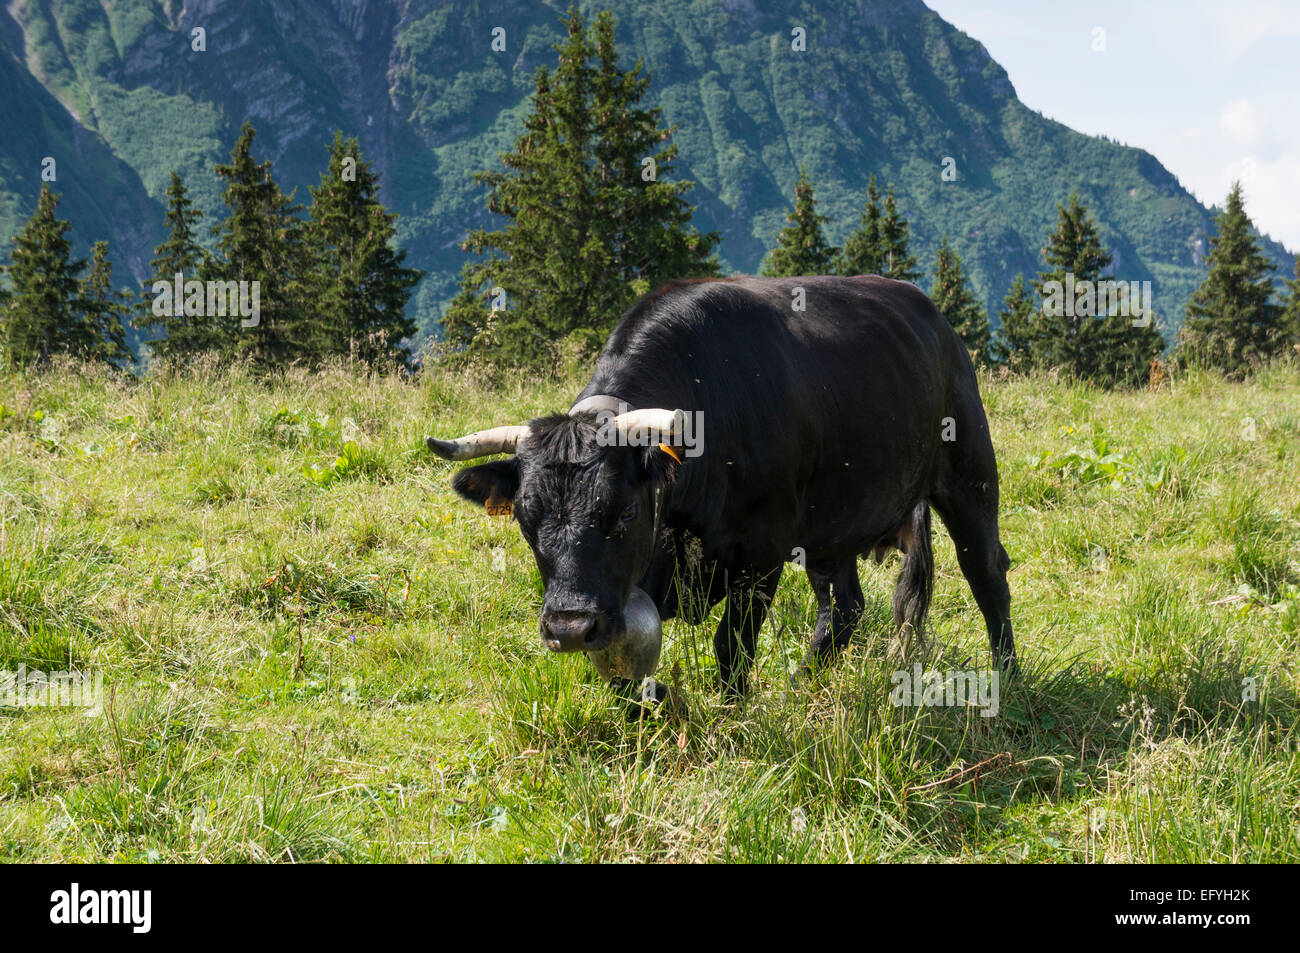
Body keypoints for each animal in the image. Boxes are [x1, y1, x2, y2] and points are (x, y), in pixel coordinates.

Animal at [426, 275, 1013, 696]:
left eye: (624, 512)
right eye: (527, 518)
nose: (568, 628)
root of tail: (932, 315)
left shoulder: (762, 551)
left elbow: (731, 646)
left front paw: (734, 713)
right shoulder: (625, 594)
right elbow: (622, 664)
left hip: (970, 475)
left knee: (987, 574)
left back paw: (1005, 678)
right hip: (835, 523)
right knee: (843, 607)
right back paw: (801, 685)